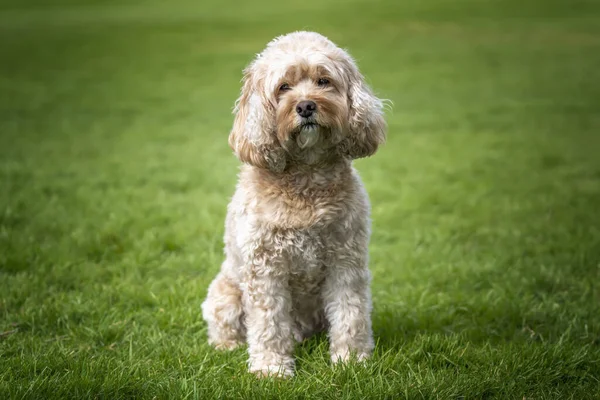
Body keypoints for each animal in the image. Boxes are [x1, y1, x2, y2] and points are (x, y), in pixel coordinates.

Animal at [202, 31, 386, 378]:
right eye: (283, 87)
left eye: (323, 81)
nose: (306, 106)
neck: (306, 179)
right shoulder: (264, 269)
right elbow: (269, 322)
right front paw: (272, 368)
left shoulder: (346, 259)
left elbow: (351, 312)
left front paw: (351, 359)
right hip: (225, 295)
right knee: (225, 325)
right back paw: (227, 347)